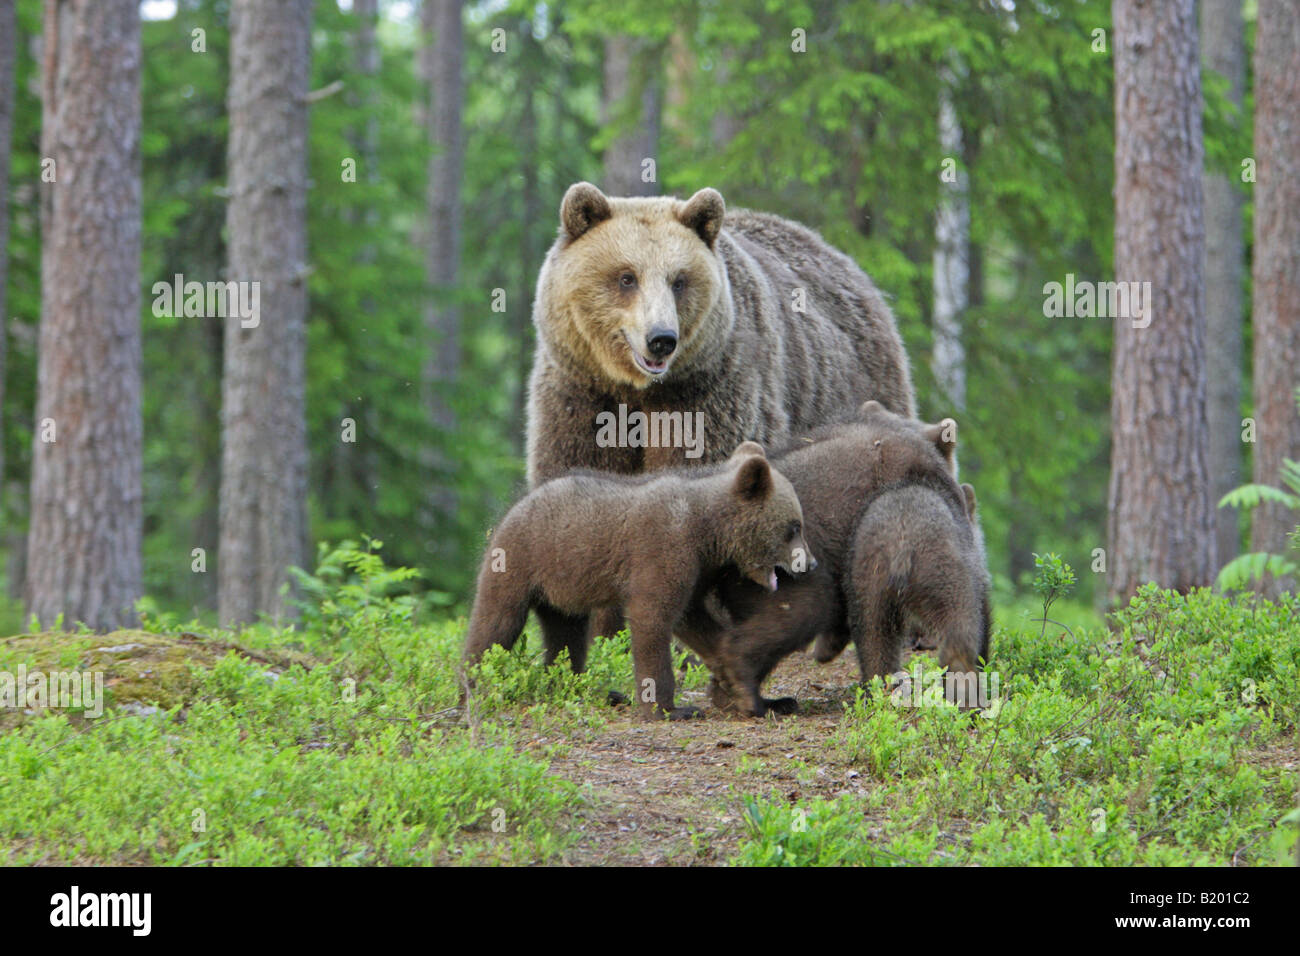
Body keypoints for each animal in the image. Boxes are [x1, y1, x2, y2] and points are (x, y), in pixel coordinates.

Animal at [461, 441, 814, 720]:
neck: (708, 532)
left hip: (560, 590)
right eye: (794, 527)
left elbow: (700, 625)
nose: (810, 563)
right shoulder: (664, 550)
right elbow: (653, 619)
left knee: (565, 637)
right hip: (519, 563)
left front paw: (760, 695)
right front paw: (669, 708)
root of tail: (515, 506)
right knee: (495, 625)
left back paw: (574, 685)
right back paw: (471, 689)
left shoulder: (697, 573)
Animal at [525, 182, 915, 640]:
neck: (638, 391)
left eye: (679, 280)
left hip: (861, 389)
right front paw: (602, 631)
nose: (662, 338)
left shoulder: (708, 393)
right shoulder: (582, 395)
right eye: (626, 277)